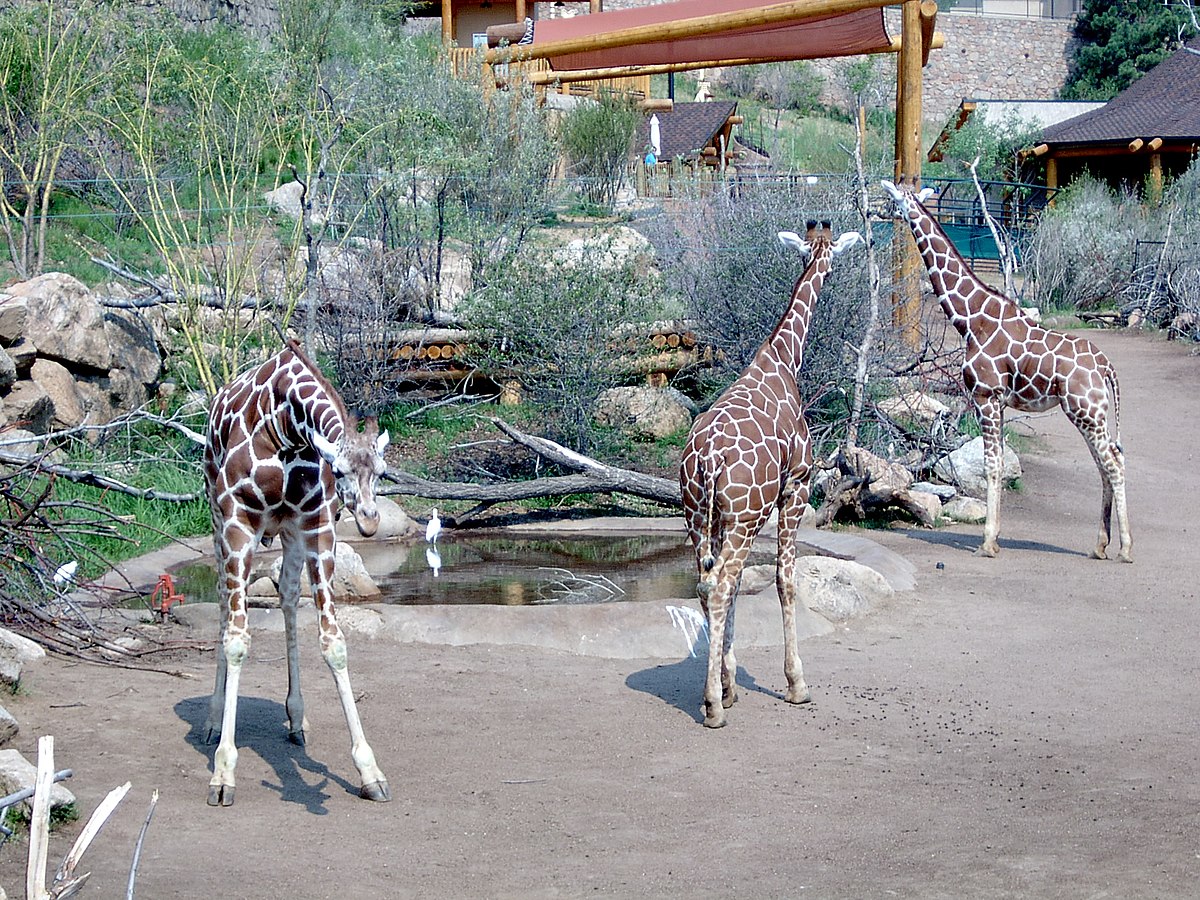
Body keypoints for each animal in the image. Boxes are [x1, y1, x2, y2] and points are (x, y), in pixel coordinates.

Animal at [204, 340, 391, 811]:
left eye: (381, 472)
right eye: (339, 471)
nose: (369, 521)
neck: (286, 426)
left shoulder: (317, 525)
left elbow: (334, 642)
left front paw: (369, 771)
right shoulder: (237, 524)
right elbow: (237, 640)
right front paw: (223, 774)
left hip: (286, 531)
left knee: (288, 596)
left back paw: (295, 719)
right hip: (216, 518)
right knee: (223, 605)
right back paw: (213, 722)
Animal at [676, 222, 864, 729]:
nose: (829, 269)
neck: (783, 357)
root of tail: (707, 459)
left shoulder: (722, 518)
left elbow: (742, 585)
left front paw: (731, 681)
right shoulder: (796, 485)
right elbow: (785, 580)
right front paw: (797, 684)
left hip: (697, 515)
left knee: (707, 584)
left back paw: (718, 693)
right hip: (746, 515)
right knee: (720, 583)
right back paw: (712, 708)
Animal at [883, 180, 1132, 564]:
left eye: (894, 198)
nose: (884, 213)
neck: (971, 319)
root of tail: (1106, 366)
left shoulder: (985, 395)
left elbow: (991, 465)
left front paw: (987, 543)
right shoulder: (998, 401)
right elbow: (997, 463)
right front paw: (995, 537)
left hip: (1086, 412)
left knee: (1114, 464)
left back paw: (1126, 549)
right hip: (1092, 414)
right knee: (1105, 465)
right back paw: (1100, 546)